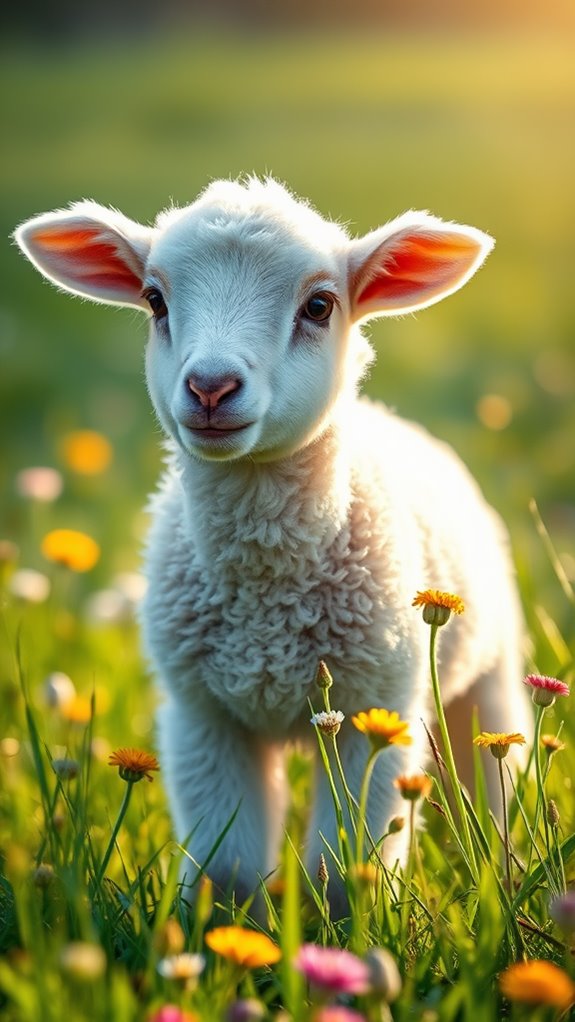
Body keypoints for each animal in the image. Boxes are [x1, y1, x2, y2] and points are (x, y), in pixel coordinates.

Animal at [15, 176, 532, 909]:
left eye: (318, 305)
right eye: (154, 300)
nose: (210, 387)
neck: (266, 602)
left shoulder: (374, 707)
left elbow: (348, 869)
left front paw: (350, 931)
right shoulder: (200, 714)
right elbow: (226, 870)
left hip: (486, 674)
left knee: (493, 776)